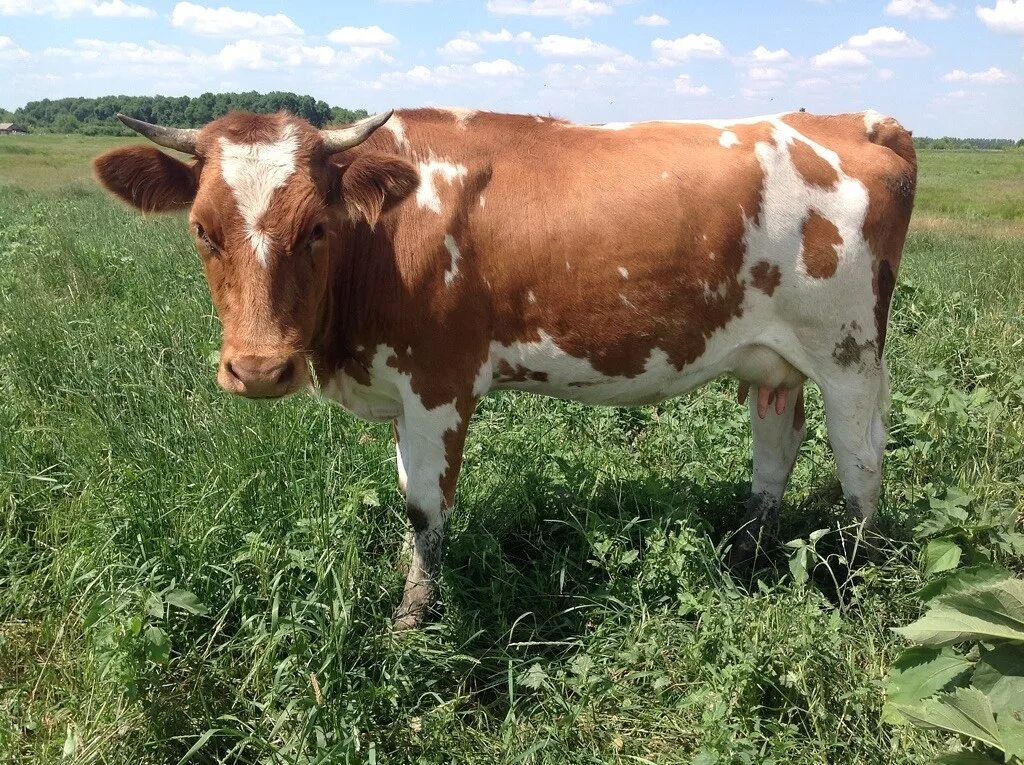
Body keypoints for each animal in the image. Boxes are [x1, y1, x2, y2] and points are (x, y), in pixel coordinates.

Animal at [92, 107, 917, 630]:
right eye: (203, 229)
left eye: (317, 227)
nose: (260, 368)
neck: (384, 238)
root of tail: (853, 120)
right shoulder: (402, 392)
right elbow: (408, 500)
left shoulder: (438, 382)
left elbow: (424, 508)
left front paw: (411, 620)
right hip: (778, 358)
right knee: (776, 448)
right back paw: (744, 554)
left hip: (848, 350)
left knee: (861, 461)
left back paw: (855, 579)